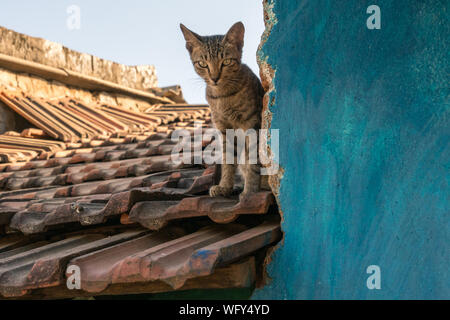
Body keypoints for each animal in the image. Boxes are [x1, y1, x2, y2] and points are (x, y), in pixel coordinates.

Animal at [179, 21, 264, 199]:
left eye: (226, 62)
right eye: (203, 64)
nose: (214, 78)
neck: (222, 96)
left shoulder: (252, 124)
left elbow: (252, 159)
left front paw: (251, 191)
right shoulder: (224, 129)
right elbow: (228, 159)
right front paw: (225, 186)